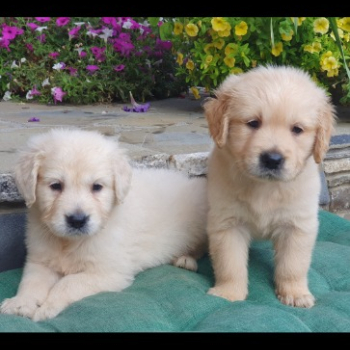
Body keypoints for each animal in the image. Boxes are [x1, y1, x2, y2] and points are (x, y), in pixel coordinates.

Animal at [0, 128, 208, 320]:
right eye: (56, 185)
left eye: (97, 187)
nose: (77, 220)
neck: (69, 242)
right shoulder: (40, 260)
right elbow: (31, 282)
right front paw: (20, 303)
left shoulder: (108, 272)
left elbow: (67, 283)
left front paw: (48, 307)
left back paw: (185, 259)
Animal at [205, 64, 336, 308]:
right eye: (253, 123)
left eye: (297, 129)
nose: (272, 159)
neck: (265, 187)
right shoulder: (227, 223)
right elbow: (230, 263)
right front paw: (229, 293)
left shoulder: (298, 225)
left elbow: (293, 265)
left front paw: (295, 293)